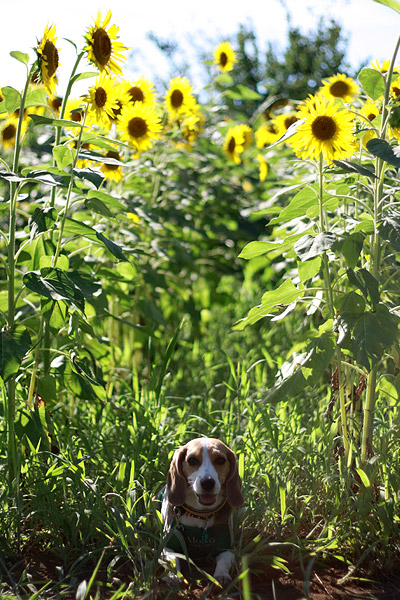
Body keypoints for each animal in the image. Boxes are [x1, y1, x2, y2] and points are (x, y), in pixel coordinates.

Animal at [160, 436, 244, 584]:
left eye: (220, 460)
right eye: (192, 460)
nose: (207, 482)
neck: (201, 514)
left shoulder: (228, 548)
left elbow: (224, 561)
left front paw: (221, 575)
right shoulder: (168, 545)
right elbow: (173, 559)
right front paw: (173, 575)